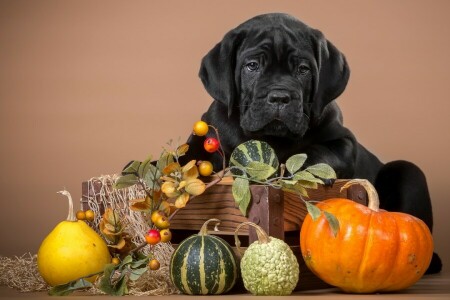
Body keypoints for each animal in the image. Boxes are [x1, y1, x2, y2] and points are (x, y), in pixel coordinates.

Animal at [182, 12, 440, 274]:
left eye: (303, 69)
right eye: (252, 66)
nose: (279, 97)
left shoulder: (344, 141)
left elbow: (320, 149)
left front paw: (309, 170)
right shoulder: (208, 135)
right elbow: (190, 155)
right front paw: (181, 178)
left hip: (409, 171)